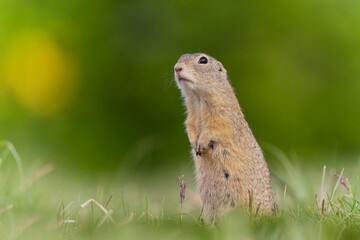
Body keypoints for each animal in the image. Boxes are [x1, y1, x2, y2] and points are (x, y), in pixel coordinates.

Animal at [174, 53, 276, 223]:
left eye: (203, 60)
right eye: (180, 58)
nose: (177, 68)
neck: (198, 98)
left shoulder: (223, 116)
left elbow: (215, 128)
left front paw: (201, 144)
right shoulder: (190, 118)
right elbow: (190, 128)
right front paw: (194, 144)